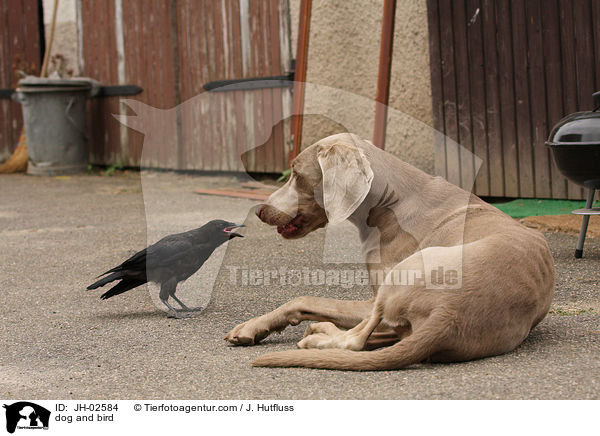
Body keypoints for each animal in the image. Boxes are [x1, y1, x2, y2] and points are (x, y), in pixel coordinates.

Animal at [225, 134, 552, 372]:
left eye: (295, 173)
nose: (260, 210)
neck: (390, 200)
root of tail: (449, 314)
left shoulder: (372, 297)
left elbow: (303, 299)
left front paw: (252, 326)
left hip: (403, 276)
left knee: (356, 341)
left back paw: (321, 334)